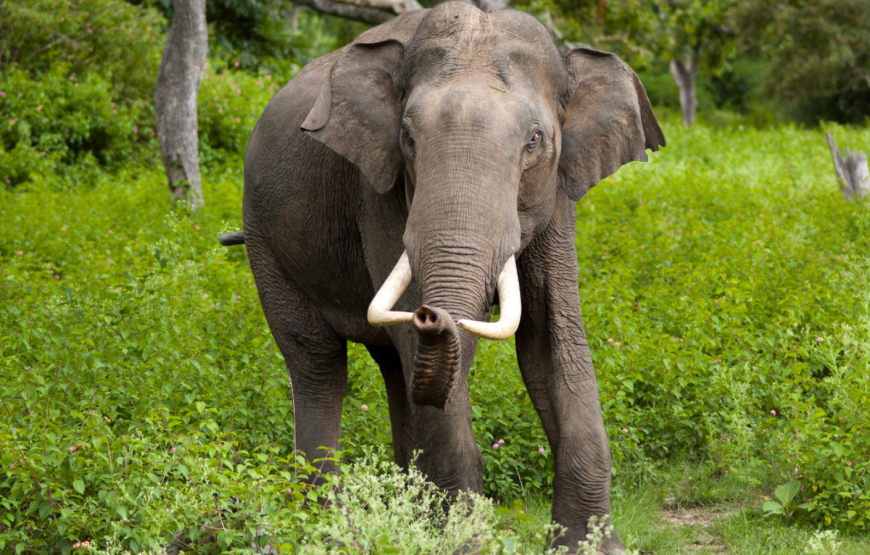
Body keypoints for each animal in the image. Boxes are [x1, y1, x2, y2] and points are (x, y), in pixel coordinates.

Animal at [220, 3, 668, 552]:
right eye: (408, 137)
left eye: (535, 140)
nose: (431, 315)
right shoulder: (380, 191)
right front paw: (460, 541)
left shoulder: (559, 193)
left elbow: (552, 343)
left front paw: (590, 546)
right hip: (264, 239)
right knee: (318, 363)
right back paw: (329, 527)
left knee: (395, 370)